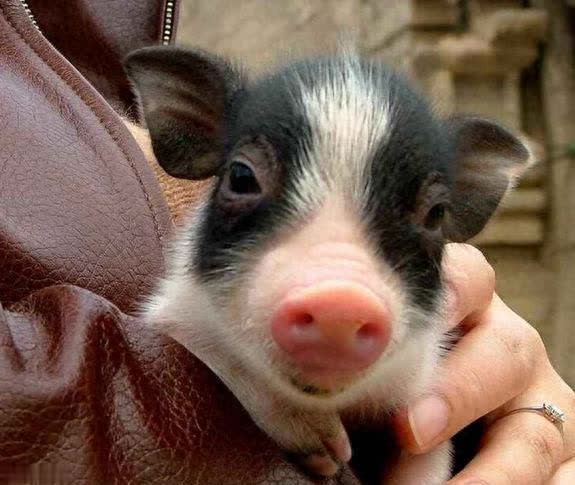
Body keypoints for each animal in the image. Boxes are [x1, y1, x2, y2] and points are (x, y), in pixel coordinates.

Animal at [123, 45, 531, 483]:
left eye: (436, 214)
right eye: (241, 175)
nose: (341, 300)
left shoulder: (422, 386)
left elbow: (426, 459)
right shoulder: (175, 314)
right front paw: (330, 454)